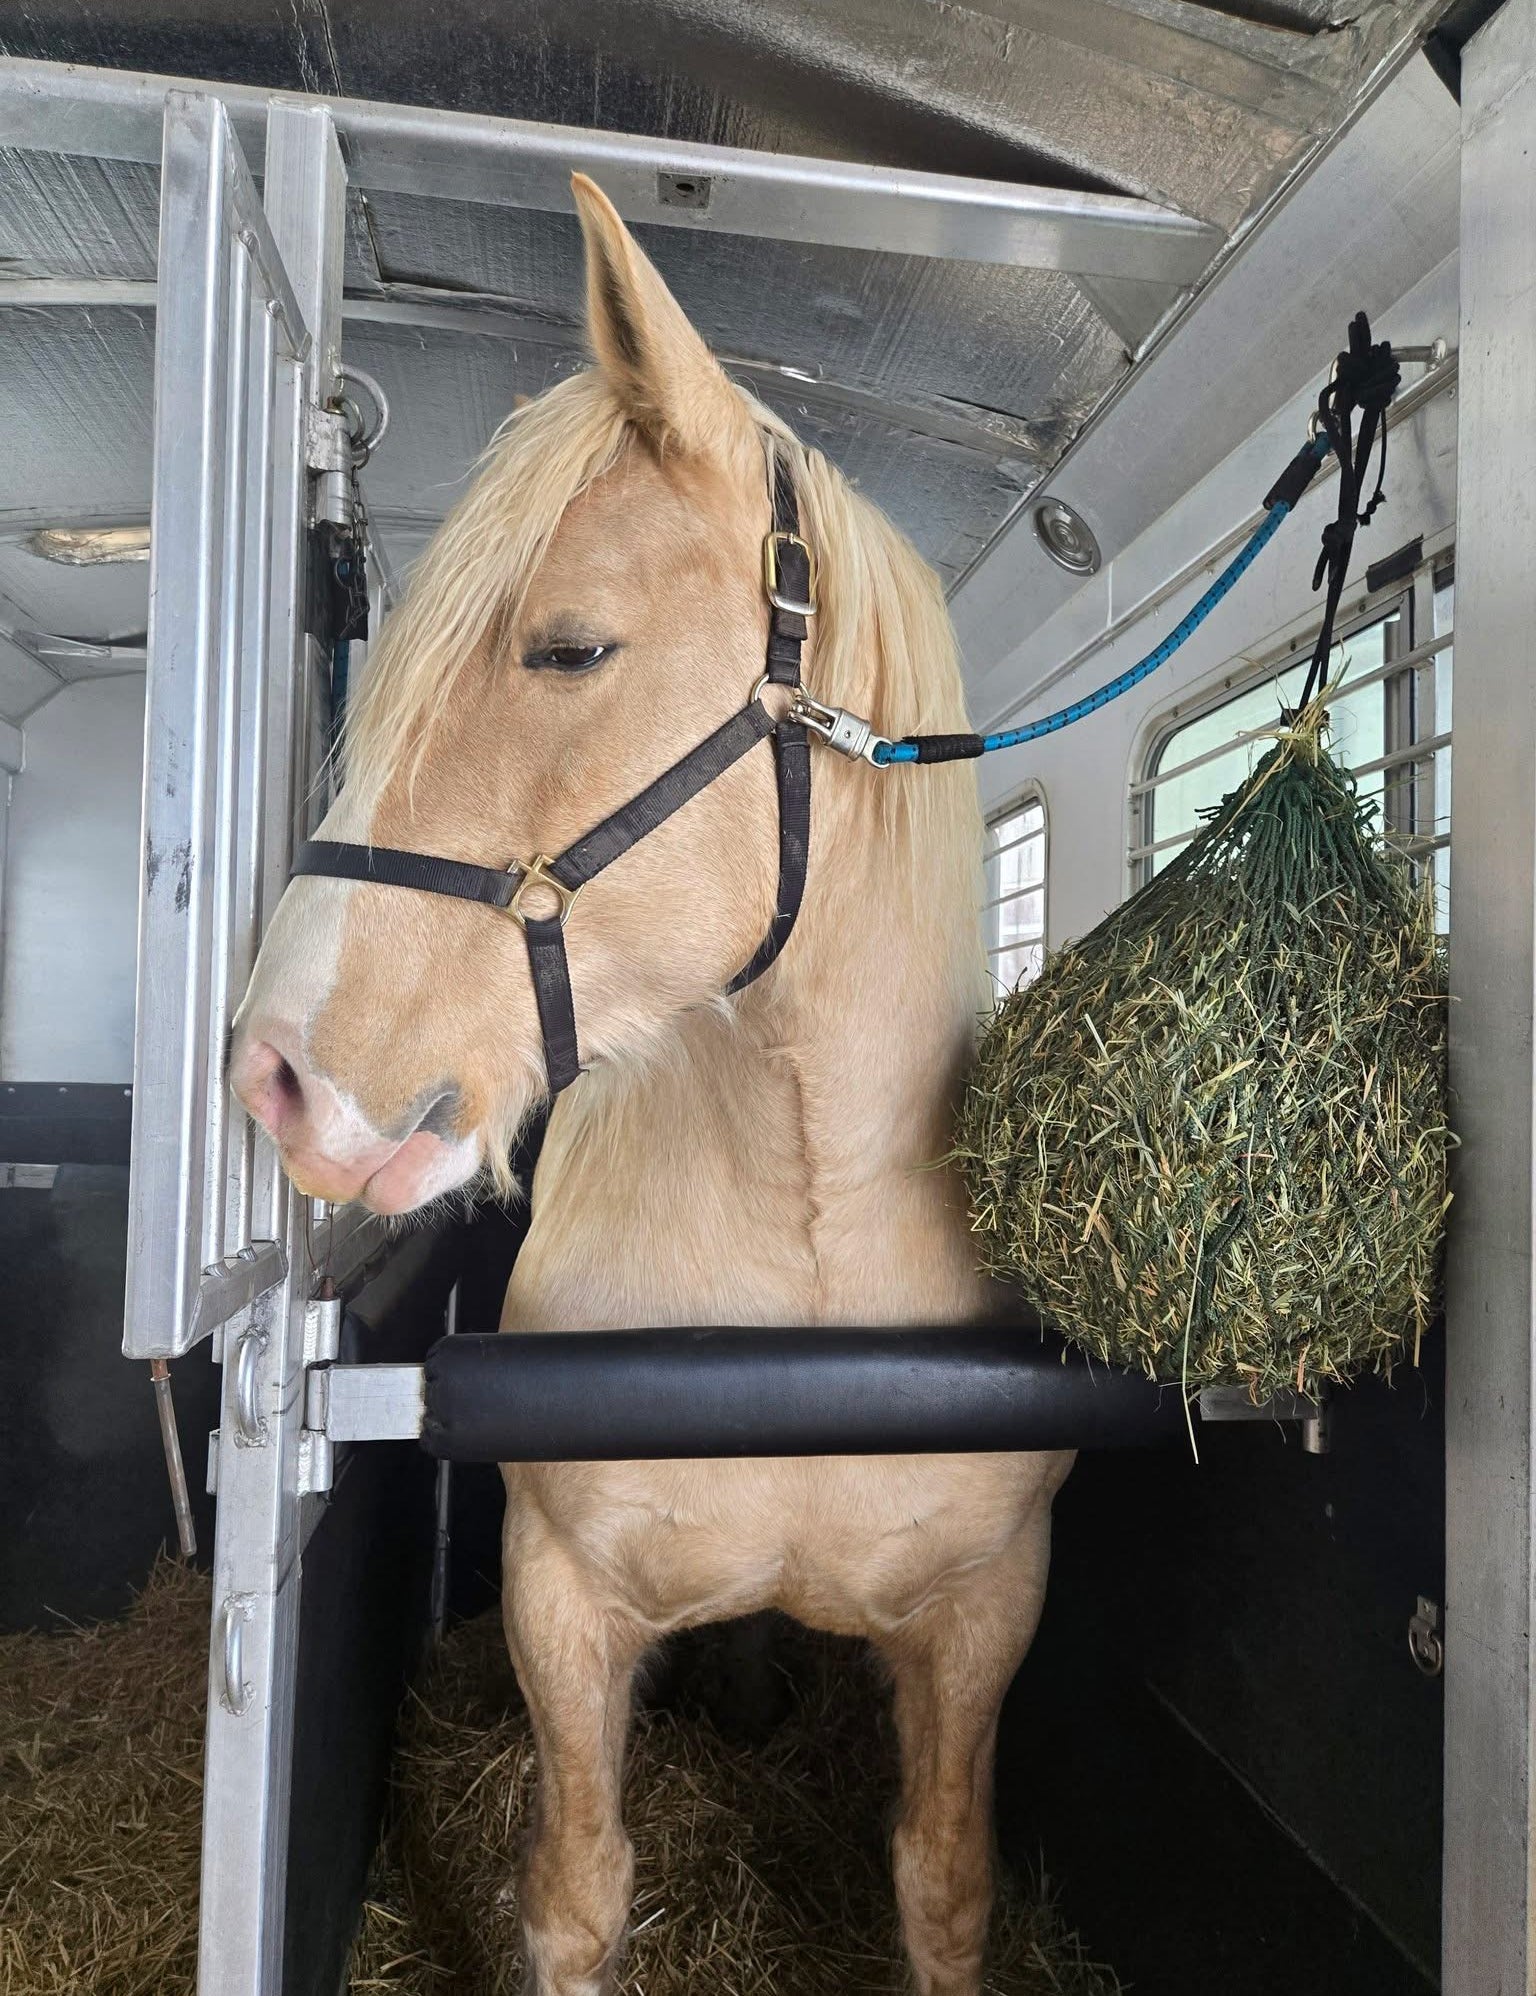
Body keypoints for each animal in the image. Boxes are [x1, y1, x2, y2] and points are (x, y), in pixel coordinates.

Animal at [230, 173, 1072, 1996]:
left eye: (570, 648)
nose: (272, 1076)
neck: (809, 1242)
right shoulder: (561, 1601)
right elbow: (575, 1888)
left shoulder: (985, 1617)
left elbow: (943, 1887)